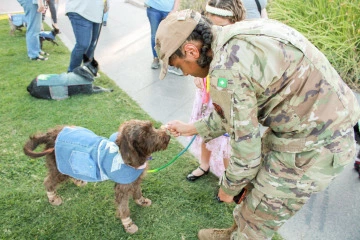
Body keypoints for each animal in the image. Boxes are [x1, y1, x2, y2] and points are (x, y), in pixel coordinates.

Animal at [23, 121, 171, 233]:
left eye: (151, 126)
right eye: (144, 134)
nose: (168, 136)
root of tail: (51, 134)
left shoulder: (134, 180)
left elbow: (138, 192)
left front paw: (141, 201)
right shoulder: (122, 188)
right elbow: (123, 208)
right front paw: (128, 224)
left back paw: (77, 181)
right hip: (58, 168)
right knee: (48, 182)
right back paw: (53, 198)